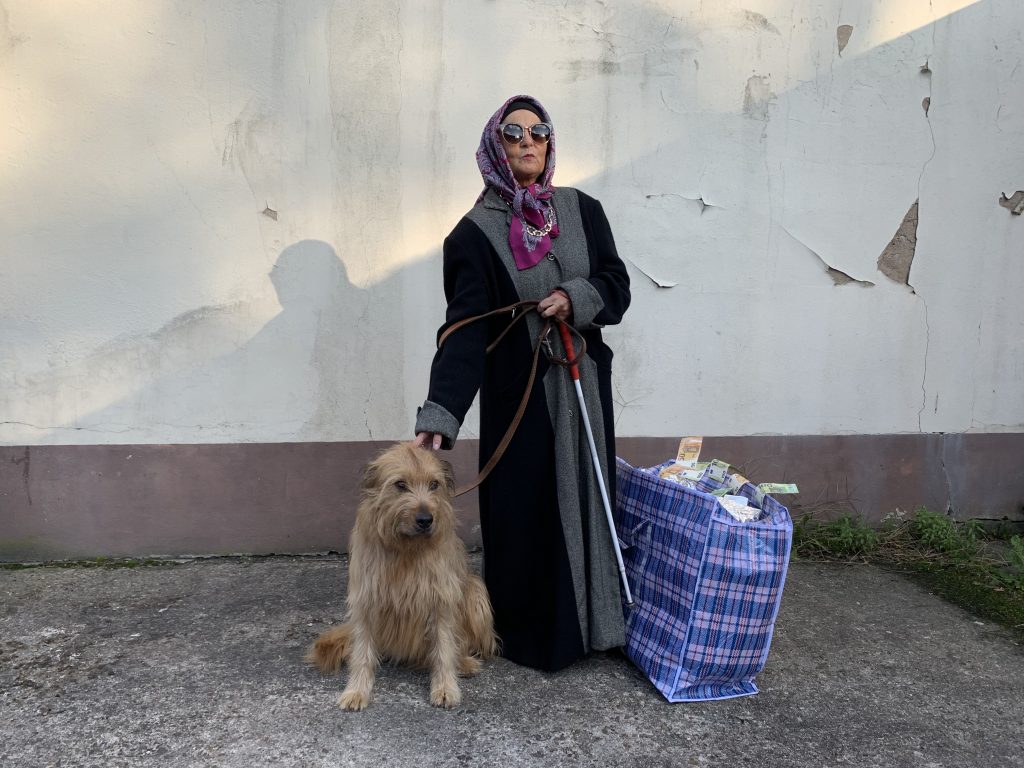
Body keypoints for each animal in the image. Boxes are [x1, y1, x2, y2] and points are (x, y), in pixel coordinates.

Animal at [303, 442, 495, 712]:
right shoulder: (366, 599)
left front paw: (445, 687)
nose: (426, 520)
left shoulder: (441, 600)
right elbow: (362, 652)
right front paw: (356, 691)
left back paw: (464, 662)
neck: (407, 548)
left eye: (434, 484)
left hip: (475, 592)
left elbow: (444, 648)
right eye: (400, 484)